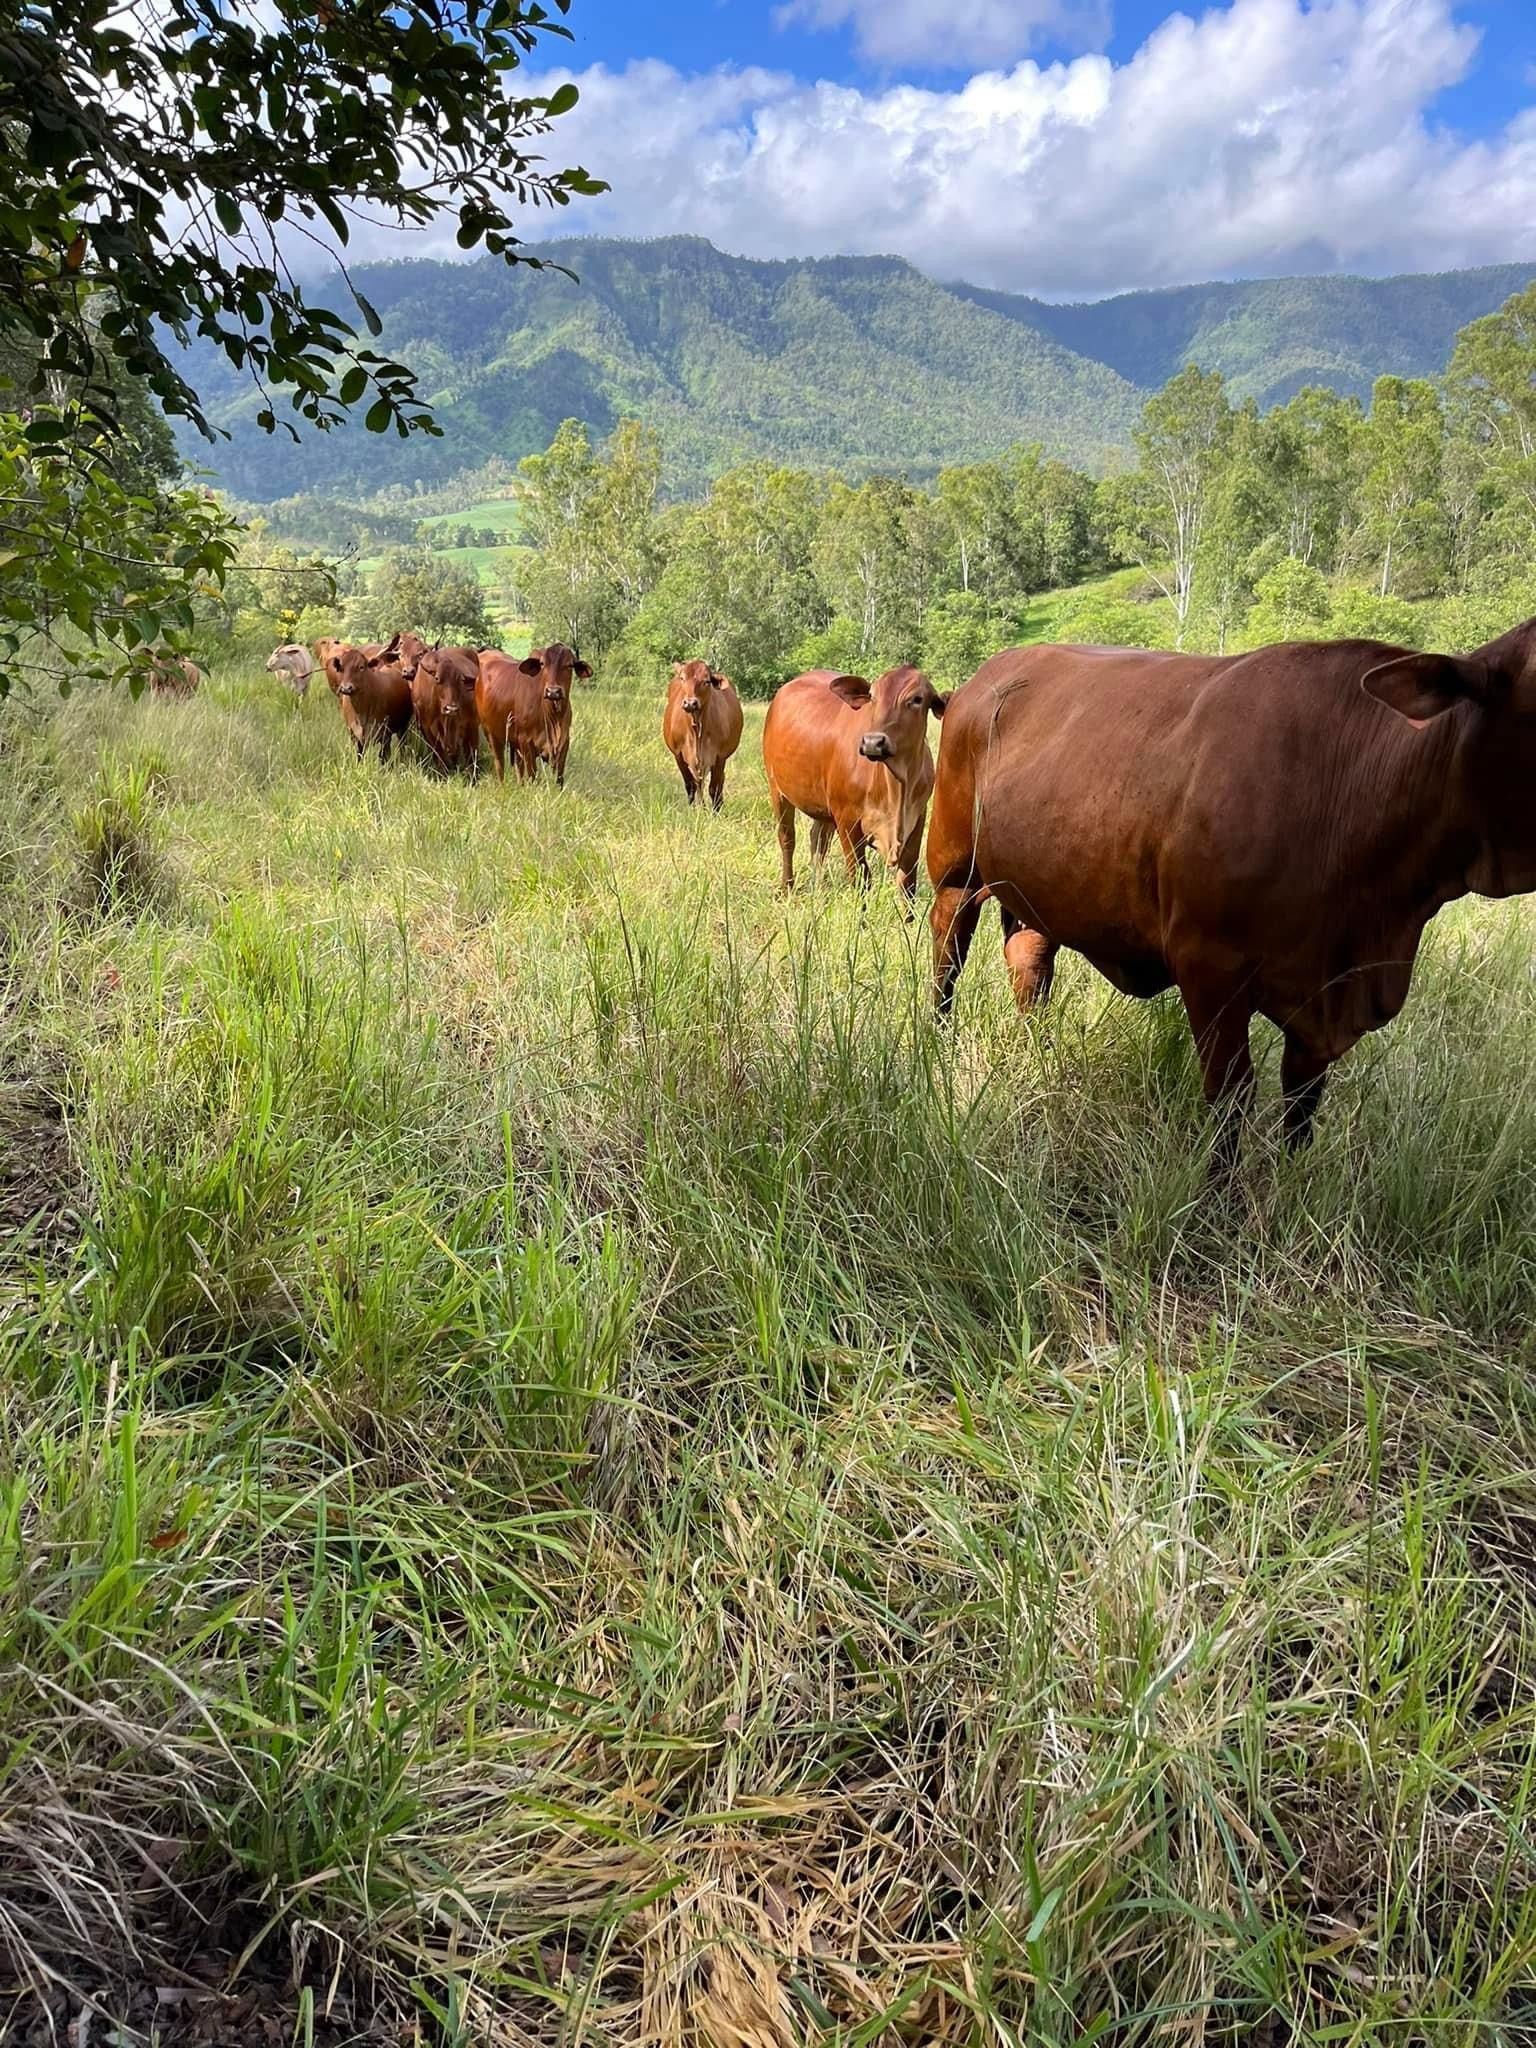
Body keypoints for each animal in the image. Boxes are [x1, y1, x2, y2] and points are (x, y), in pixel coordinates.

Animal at [406, 643, 481, 775]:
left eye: (460, 680)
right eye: (437, 678)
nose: (451, 708)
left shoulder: (466, 724)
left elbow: (469, 754)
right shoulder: (426, 728)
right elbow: (439, 754)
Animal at [476, 642, 591, 786]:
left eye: (570, 665)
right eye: (542, 664)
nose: (553, 691)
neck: (553, 719)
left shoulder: (564, 744)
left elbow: (559, 778)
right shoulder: (526, 742)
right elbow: (532, 776)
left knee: (518, 766)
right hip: (491, 733)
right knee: (499, 764)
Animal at [662, 659, 744, 809]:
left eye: (706, 681)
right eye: (682, 678)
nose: (690, 703)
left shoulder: (719, 757)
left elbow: (714, 788)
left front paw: (715, 811)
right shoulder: (678, 755)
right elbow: (690, 786)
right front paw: (693, 810)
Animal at [761, 667, 947, 901]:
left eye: (917, 699)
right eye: (872, 697)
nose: (873, 742)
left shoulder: (917, 822)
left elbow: (907, 886)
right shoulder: (847, 821)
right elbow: (860, 879)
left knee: (818, 841)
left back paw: (817, 888)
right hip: (777, 789)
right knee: (787, 838)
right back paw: (787, 888)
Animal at [927, 622, 1536, 1153]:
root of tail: (982, 677)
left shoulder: (1320, 1004)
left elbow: (1302, 1102)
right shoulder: (1209, 967)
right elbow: (1231, 1096)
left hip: (1034, 887)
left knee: (1029, 962)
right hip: (954, 868)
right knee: (948, 952)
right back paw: (937, 1045)